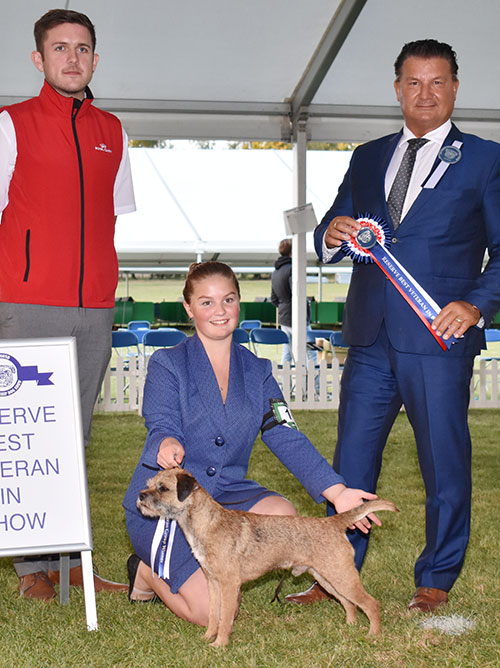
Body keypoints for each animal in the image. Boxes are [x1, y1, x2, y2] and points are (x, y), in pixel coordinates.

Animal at [137, 468, 398, 644]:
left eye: (163, 488)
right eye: (149, 483)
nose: (140, 495)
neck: (208, 523)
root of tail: (332, 522)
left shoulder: (230, 584)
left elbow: (225, 618)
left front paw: (219, 645)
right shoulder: (213, 582)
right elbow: (213, 615)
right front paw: (207, 638)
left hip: (341, 575)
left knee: (370, 604)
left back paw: (372, 635)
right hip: (327, 578)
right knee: (349, 603)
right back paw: (349, 628)